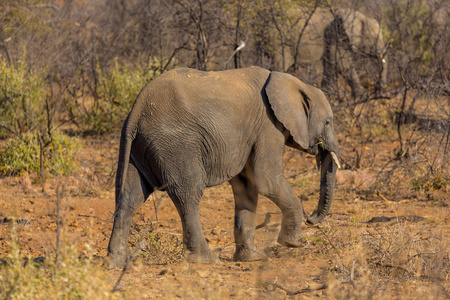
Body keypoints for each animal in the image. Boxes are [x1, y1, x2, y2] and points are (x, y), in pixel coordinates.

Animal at [107, 66, 340, 268]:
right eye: (328, 122)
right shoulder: (268, 126)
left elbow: (247, 185)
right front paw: (293, 243)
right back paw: (206, 259)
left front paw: (252, 258)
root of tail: (136, 110)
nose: (311, 219)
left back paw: (116, 263)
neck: (290, 82)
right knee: (187, 195)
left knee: (130, 198)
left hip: (140, 146)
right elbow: (265, 179)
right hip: (175, 144)